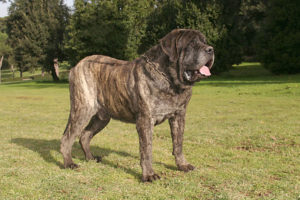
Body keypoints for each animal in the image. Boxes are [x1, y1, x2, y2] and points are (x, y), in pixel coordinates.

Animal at [61, 28, 214, 182]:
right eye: (191, 43)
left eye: (204, 41)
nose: (211, 49)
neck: (170, 80)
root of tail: (77, 65)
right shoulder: (145, 120)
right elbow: (146, 149)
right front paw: (149, 174)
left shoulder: (179, 116)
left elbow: (178, 144)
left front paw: (182, 165)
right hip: (82, 109)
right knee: (67, 137)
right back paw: (69, 163)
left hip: (102, 117)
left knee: (85, 135)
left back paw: (90, 158)